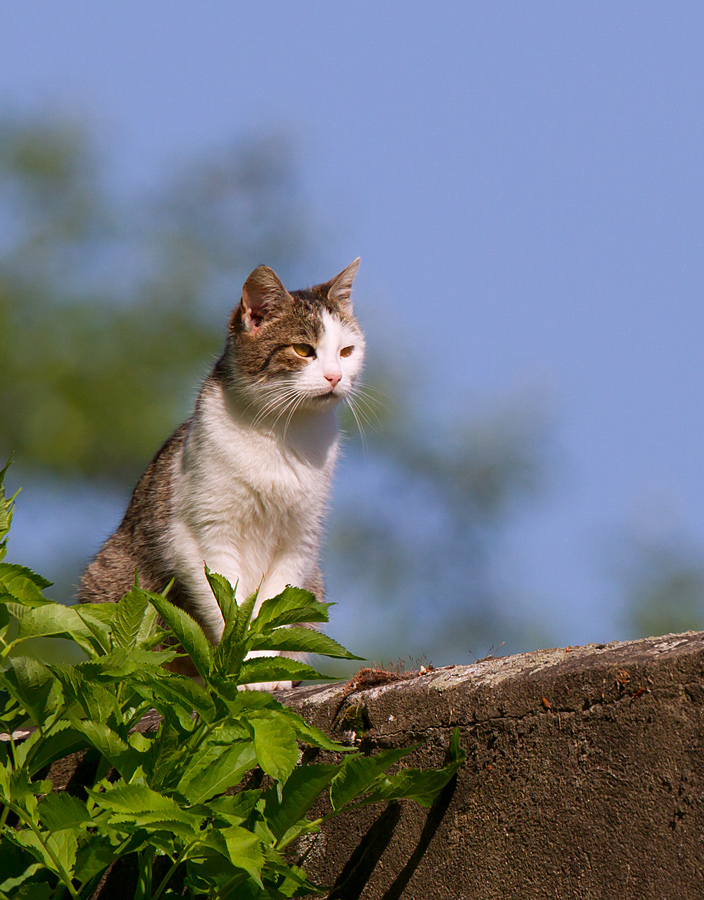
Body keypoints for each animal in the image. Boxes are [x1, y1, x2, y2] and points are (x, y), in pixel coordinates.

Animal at [80, 256, 366, 684]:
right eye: (303, 350)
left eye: (347, 351)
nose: (336, 376)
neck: (282, 434)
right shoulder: (202, 535)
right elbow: (227, 611)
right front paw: (241, 670)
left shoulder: (299, 542)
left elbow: (270, 609)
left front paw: (264, 671)